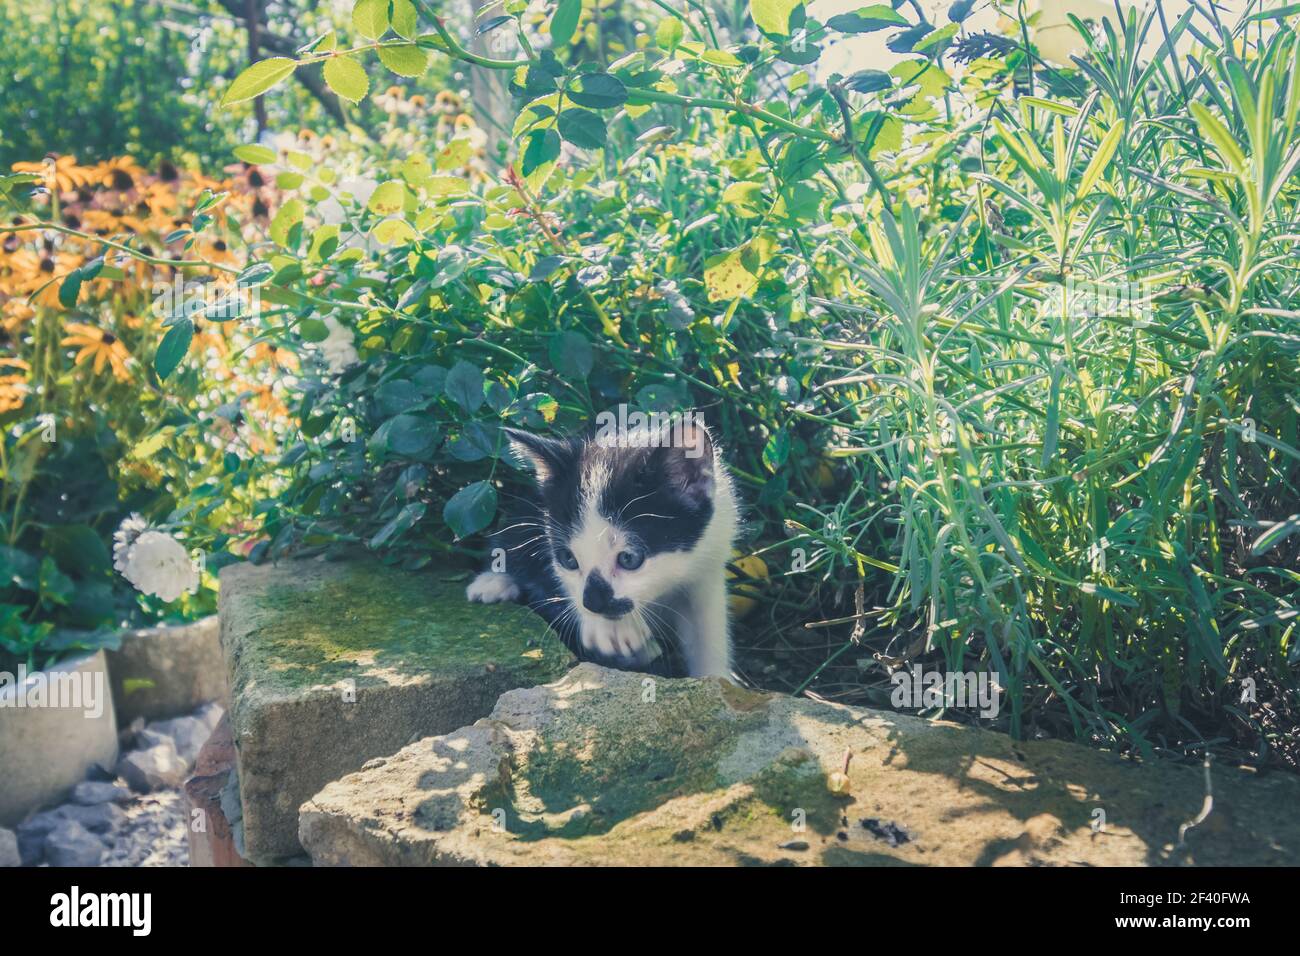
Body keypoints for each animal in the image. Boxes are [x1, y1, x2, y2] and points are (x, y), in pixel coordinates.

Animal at [467, 418, 738, 681]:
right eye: (568, 559)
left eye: (628, 558)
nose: (593, 603)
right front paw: (611, 629)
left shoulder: (711, 551)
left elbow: (707, 624)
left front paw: (718, 677)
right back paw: (493, 582)